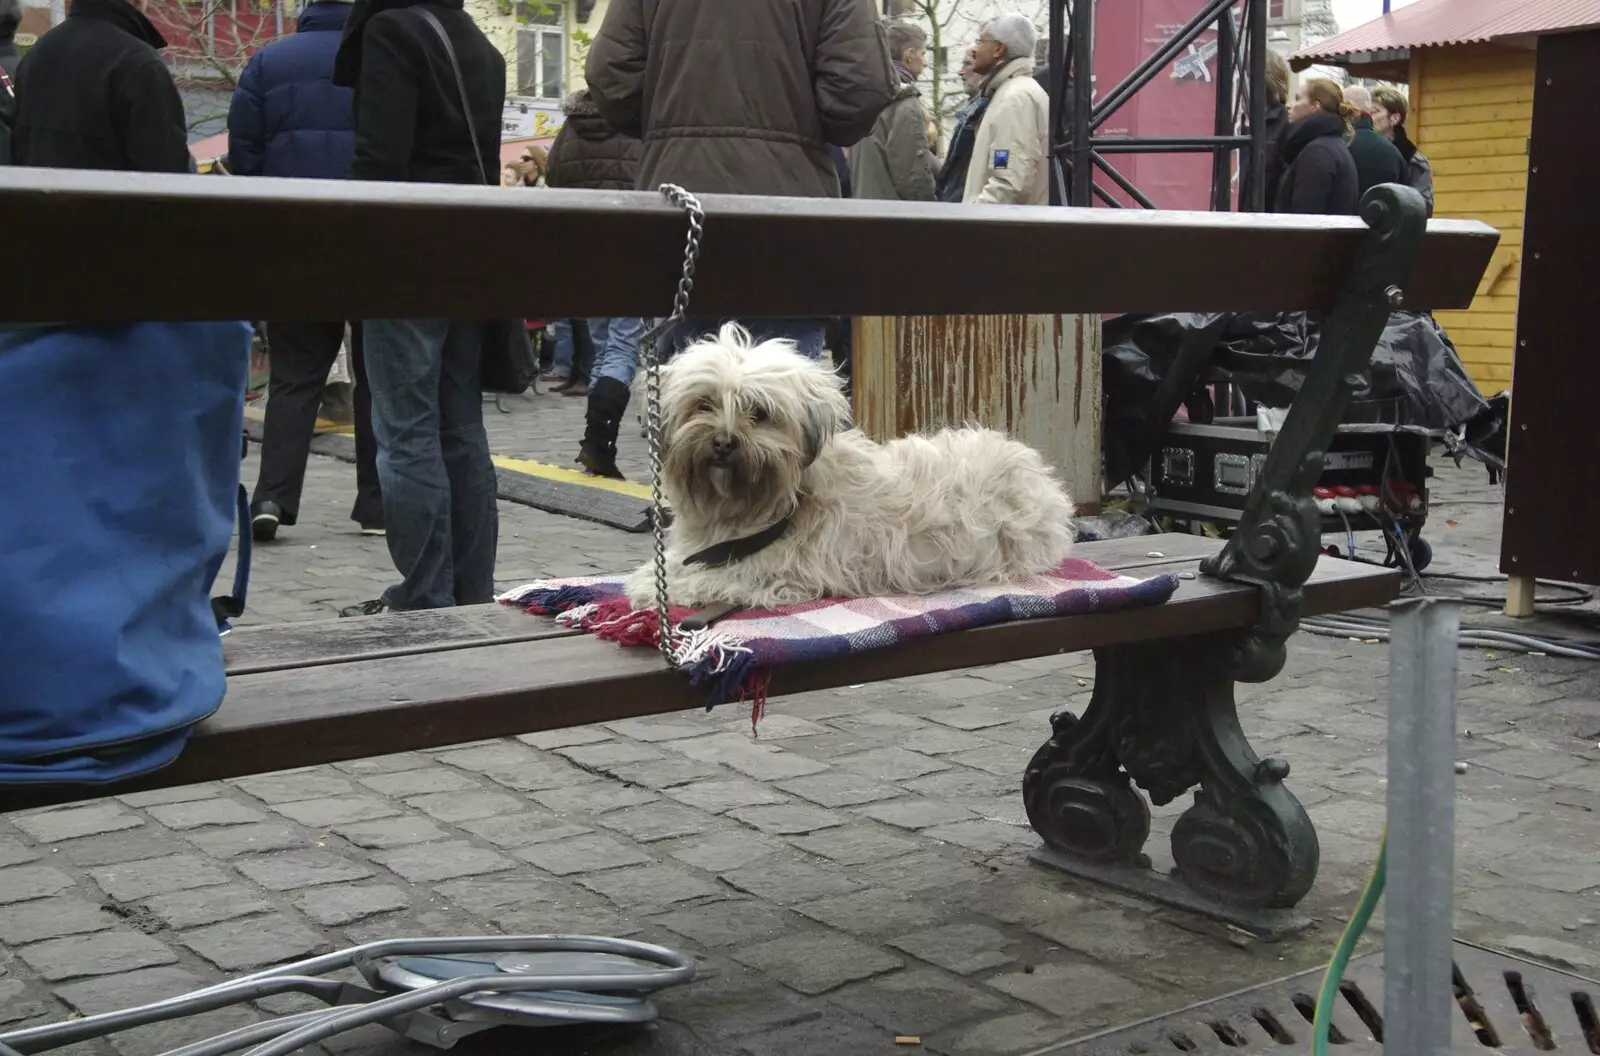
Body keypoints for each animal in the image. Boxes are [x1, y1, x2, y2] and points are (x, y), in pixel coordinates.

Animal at [624, 328, 1075, 611]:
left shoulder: (773, 573)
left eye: (760, 412)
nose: (723, 442)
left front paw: (653, 586)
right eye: (703, 404)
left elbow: (702, 579)